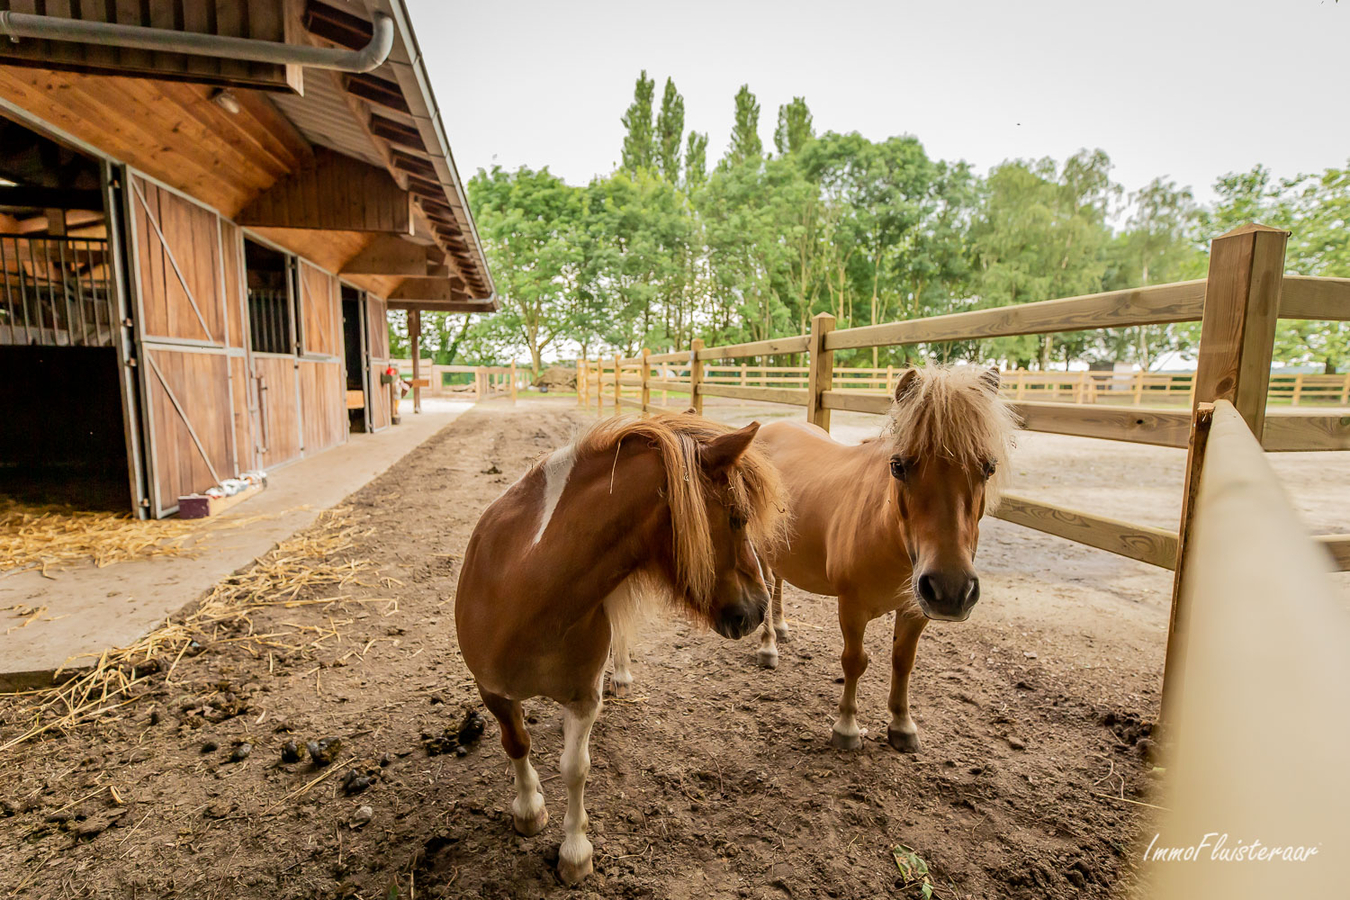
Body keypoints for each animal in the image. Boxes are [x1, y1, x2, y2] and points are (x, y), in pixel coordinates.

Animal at [456, 415, 788, 885]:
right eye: (737, 518)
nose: (758, 608)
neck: (525, 592)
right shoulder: (493, 691)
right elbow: (517, 743)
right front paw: (529, 808)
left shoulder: (582, 699)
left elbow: (575, 768)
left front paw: (575, 852)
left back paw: (624, 677)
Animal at [761, 367, 1015, 755]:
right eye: (898, 466)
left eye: (988, 468)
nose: (952, 589)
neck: (887, 533)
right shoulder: (851, 606)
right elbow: (854, 661)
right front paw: (847, 727)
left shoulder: (914, 611)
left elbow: (903, 662)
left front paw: (901, 725)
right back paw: (767, 646)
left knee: (777, 583)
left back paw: (782, 627)